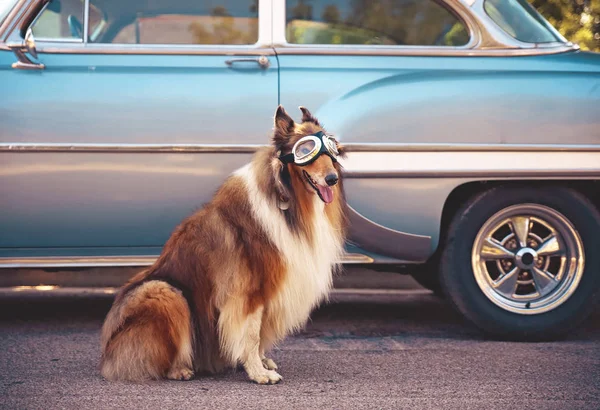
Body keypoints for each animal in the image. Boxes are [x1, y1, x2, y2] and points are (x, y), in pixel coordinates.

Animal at [101, 105, 350, 384]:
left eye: (332, 150)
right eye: (305, 151)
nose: (332, 179)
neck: (286, 199)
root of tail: (108, 354)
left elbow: (259, 334)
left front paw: (262, 362)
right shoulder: (249, 290)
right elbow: (251, 335)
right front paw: (259, 373)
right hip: (164, 292)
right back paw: (180, 369)